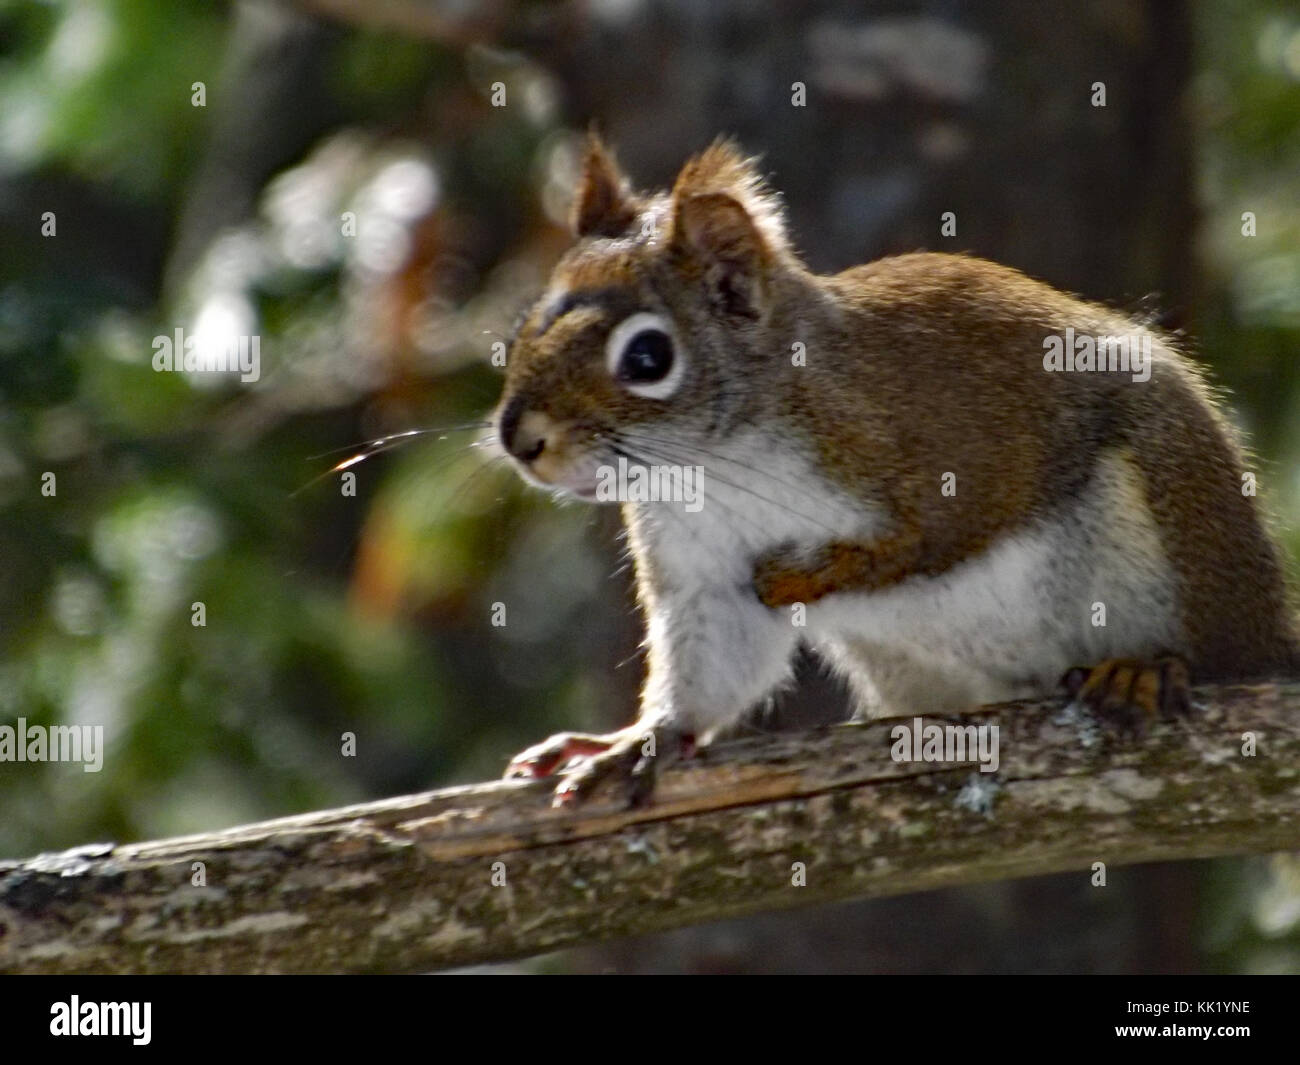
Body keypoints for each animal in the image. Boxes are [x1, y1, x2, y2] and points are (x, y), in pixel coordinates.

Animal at [488, 133, 1300, 806]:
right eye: (527, 321)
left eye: (648, 357)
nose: (519, 439)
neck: (717, 463)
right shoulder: (702, 574)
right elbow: (711, 666)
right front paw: (638, 741)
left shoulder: (948, 443)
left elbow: (940, 535)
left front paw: (812, 574)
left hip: (1170, 508)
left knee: (1215, 652)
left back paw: (1149, 669)